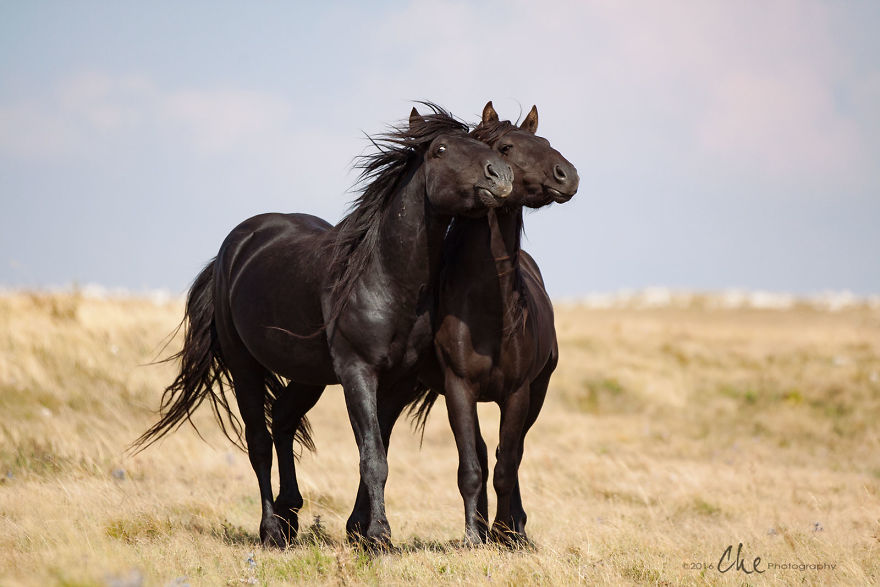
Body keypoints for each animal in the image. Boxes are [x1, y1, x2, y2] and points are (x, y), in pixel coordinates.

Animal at [134, 104, 514, 548]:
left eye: (477, 141)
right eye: (439, 149)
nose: (500, 176)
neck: (384, 278)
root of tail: (233, 248)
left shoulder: (398, 382)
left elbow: (377, 451)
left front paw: (362, 532)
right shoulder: (357, 373)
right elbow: (373, 458)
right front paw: (379, 537)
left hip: (308, 375)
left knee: (282, 419)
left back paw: (290, 516)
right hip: (244, 366)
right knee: (259, 441)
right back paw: (270, 530)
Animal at [401, 102, 579, 545]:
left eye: (544, 141)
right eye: (506, 147)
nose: (567, 175)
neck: (487, 311)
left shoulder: (518, 394)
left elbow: (505, 465)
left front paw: (506, 534)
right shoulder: (458, 389)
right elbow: (472, 465)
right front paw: (473, 535)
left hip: (538, 392)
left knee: (510, 456)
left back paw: (515, 527)